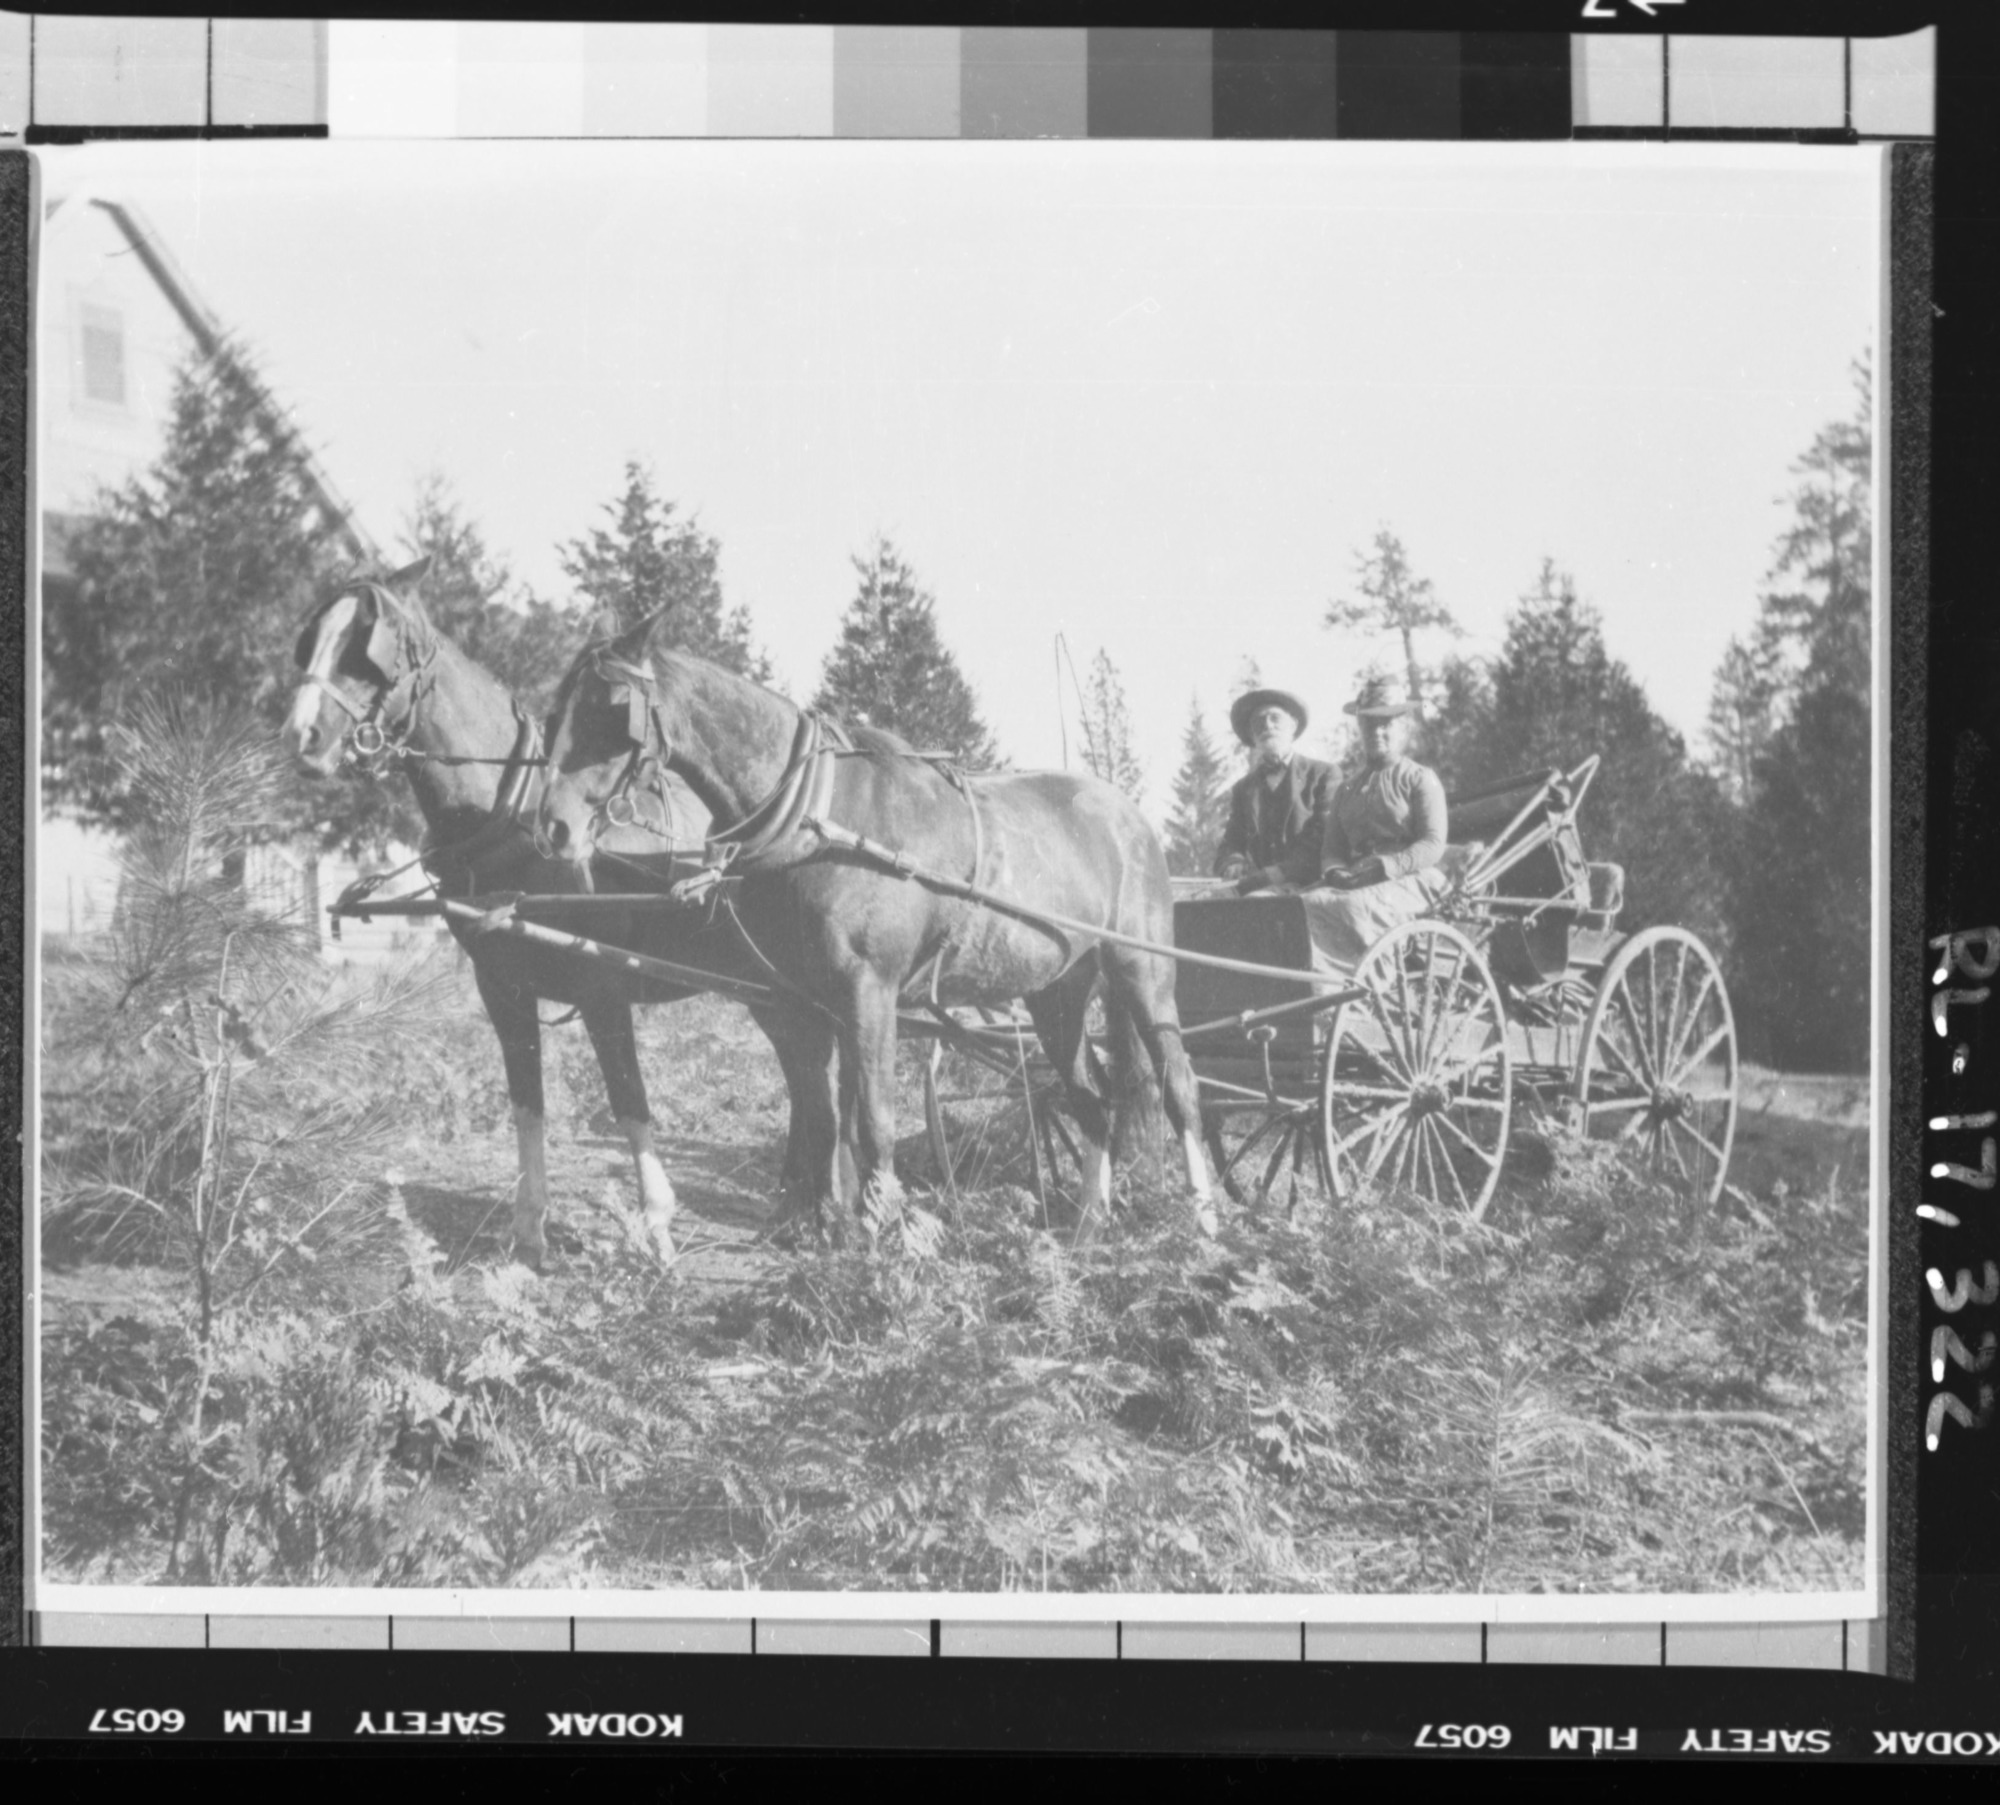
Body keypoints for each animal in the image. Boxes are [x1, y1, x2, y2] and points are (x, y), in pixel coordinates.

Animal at [282, 560, 828, 1272]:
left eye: (364, 652)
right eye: (310, 642)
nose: (301, 736)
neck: (509, 820)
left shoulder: (602, 991)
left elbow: (629, 1102)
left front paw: (657, 1225)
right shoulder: (502, 990)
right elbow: (527, 1107)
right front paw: (528, 1232)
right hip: (768, 989)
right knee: (804, 1070)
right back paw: (793, 1208)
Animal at [532, 608, 1208, 1240]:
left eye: (611, 710)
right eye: (555, 712)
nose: (554, 827)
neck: (818, 819)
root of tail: (1128, 815)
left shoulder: (869, 991)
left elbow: (871, 1121)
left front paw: (886, 1234)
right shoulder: (798, 1002)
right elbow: (823, 1117)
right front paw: (819, 1228)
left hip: (1144, 972)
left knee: (1180, 1086)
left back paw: (1204, 1220)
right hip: (1057, 992)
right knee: (1093, 1101)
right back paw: (1089, 1229)